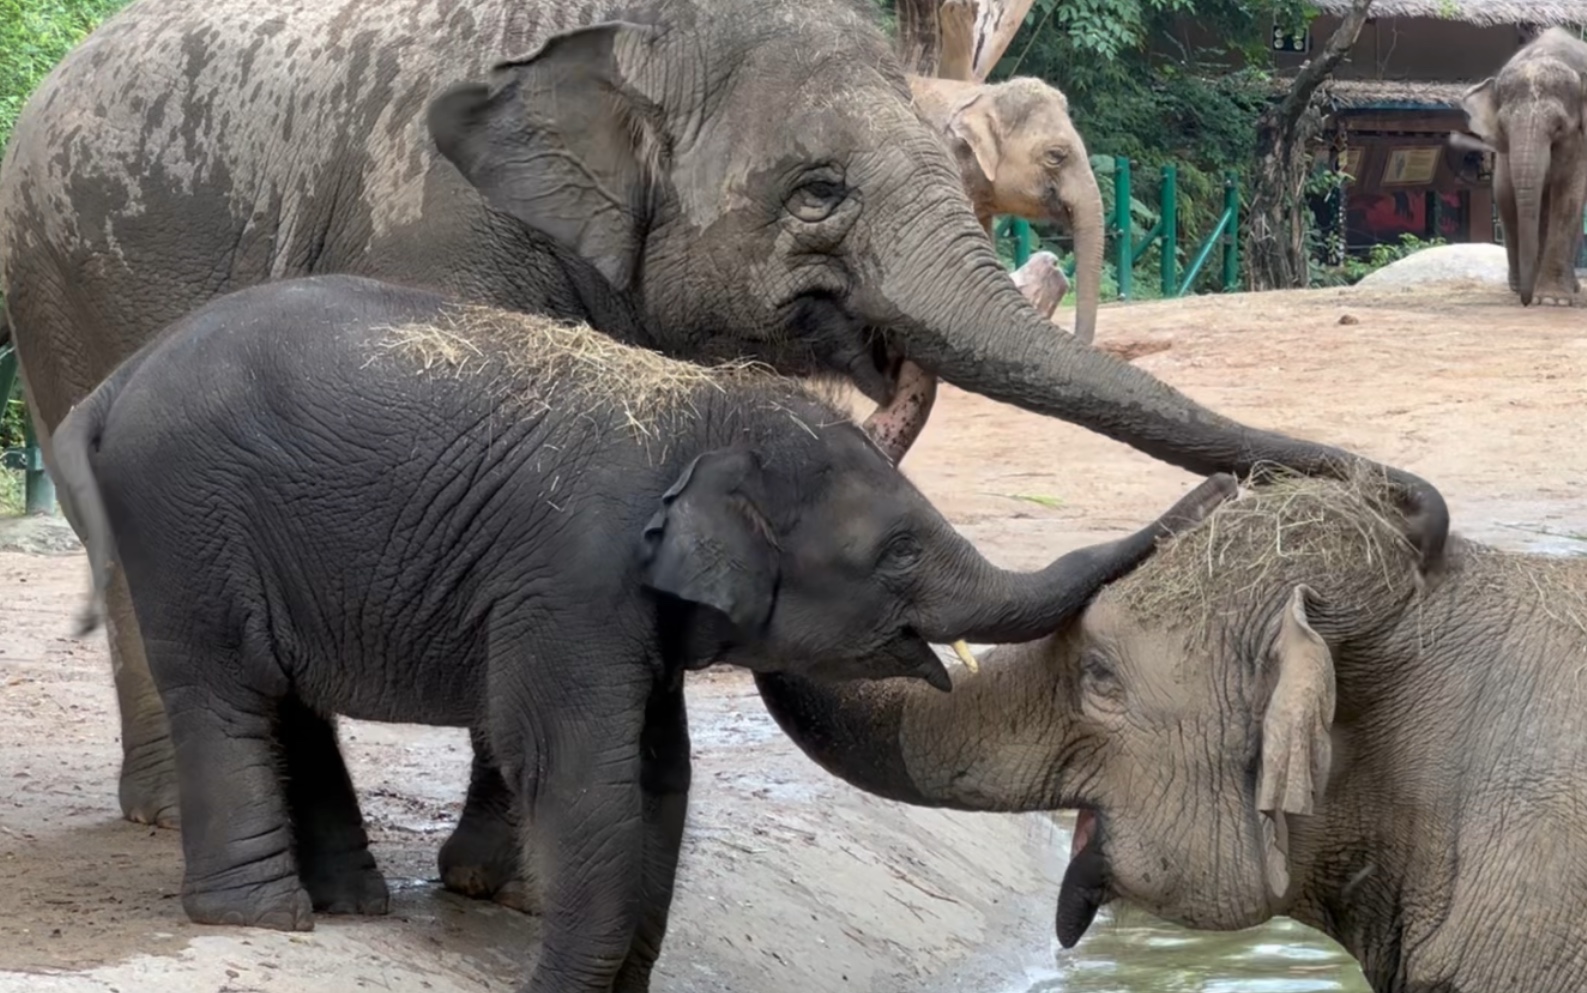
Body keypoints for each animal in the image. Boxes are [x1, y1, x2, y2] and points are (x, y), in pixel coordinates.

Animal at [1460, 26, 1587, 306]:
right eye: (1503, 126)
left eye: (1559, 126)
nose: (1526, 301)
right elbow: (1507, 194)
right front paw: (1535, 293)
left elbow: (1569, 194)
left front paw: (1551, 301)